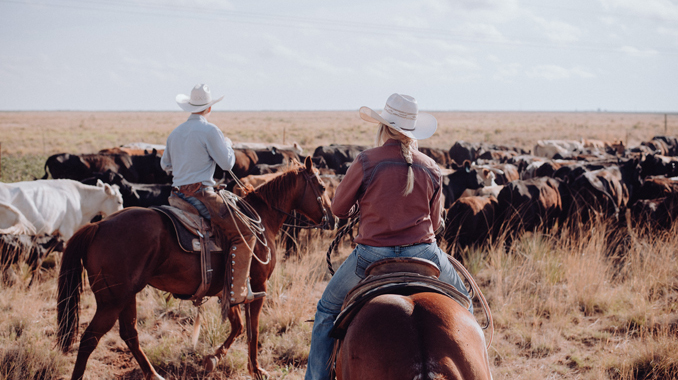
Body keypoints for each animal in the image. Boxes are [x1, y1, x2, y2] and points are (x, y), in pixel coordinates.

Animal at [57, 156, 336, 378]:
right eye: (322, 186)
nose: (333, 219)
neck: (261, 218)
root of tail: (98, 226)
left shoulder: (228, 289)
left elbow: (238, 326)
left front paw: (212, 359)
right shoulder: (257, 285)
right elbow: (252, 329)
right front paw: (256, 369)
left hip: (126, 296)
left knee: (129, 333)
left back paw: (153, 374)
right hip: (111, 301)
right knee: (89, 339)